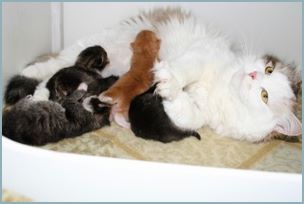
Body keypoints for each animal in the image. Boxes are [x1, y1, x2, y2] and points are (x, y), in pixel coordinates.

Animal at [19, 8, 302, 142]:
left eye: (265, 96)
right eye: (268, 70)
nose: (253, 74)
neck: (221, 87)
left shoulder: (201, 113)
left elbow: (187, 113)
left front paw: (167, 92)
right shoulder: (204, 53)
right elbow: (186, 70)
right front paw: (169, 80)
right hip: (94, 44)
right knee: (50, 69)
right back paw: (31, 85)